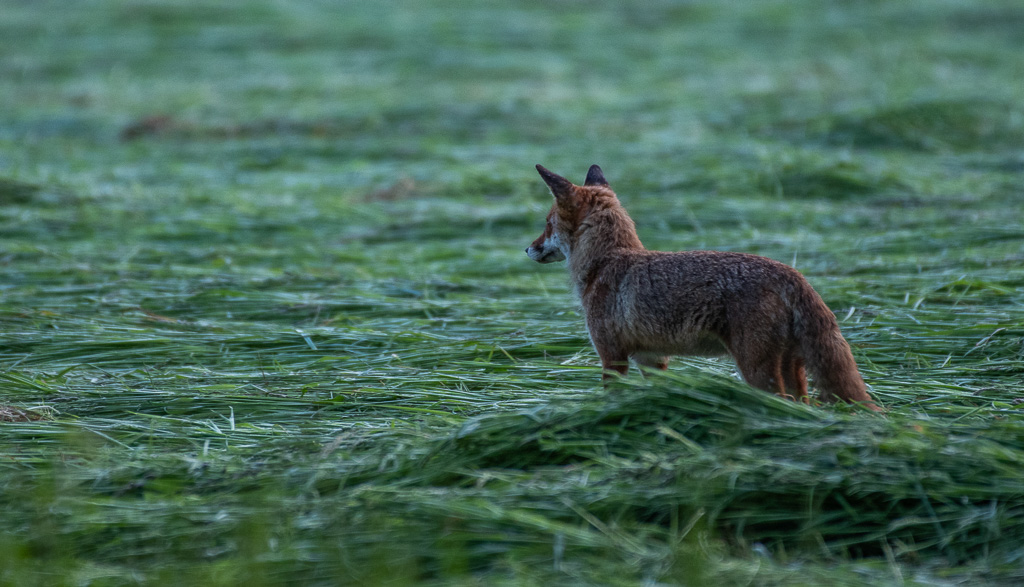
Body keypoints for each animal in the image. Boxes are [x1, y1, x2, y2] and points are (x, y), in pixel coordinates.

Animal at [526, 164, 880, 411]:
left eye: (547, 224)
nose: (527, 249)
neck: (607, 262)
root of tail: (792, 274)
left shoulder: (612, 356)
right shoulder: (651, 359)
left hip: (756, 369)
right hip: (791, 370)